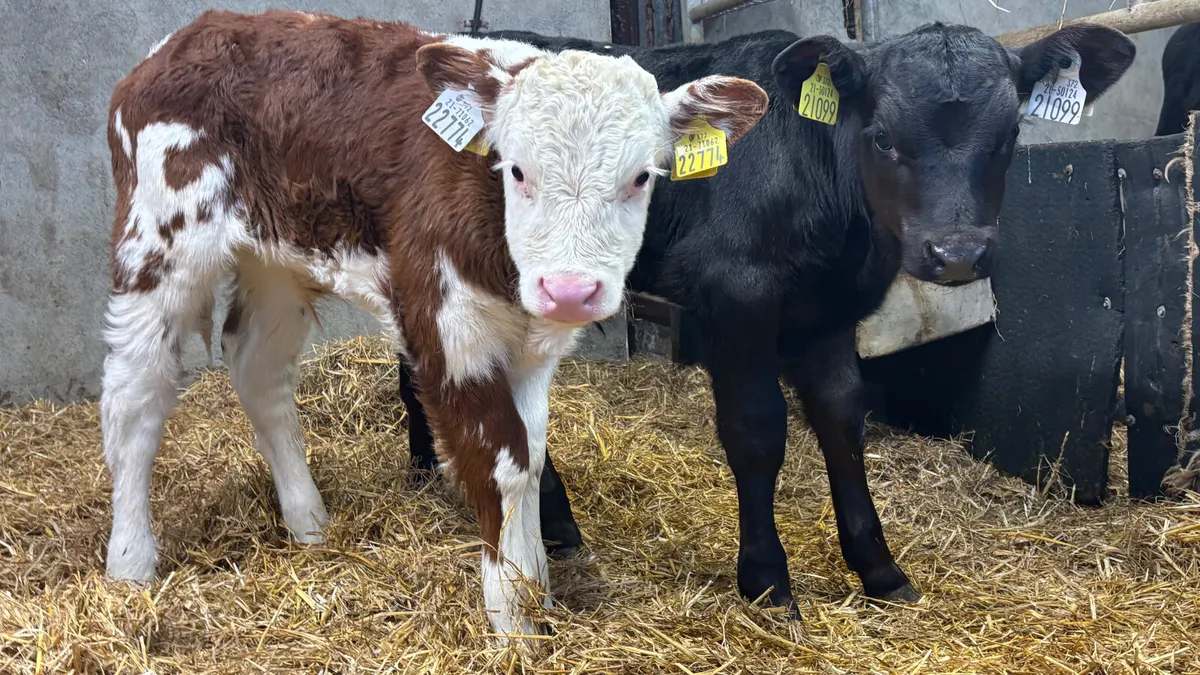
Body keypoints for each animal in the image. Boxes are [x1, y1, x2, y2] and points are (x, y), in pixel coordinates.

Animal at [100, 9, 769, 637]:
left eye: (642, 176)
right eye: (517, 170)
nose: (570, 291)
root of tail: (192, 34)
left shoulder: (532, 347)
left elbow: (531, 455)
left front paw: (537, 587)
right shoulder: (448, 329)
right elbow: (502, 462)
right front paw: (512, 618)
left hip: (278, 258)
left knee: (257, 370)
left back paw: (309, 524)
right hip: (159, 240)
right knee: (135, 394)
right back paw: (131, 564)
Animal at [399, 23, 1136, 614]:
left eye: (1010, 137)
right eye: (882, 136)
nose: (956, 253)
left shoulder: (829, 313)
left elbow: (842, 419)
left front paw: (881, 570)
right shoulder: (739, 296)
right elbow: (755, 431)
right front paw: (767, 580)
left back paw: (450, 475)